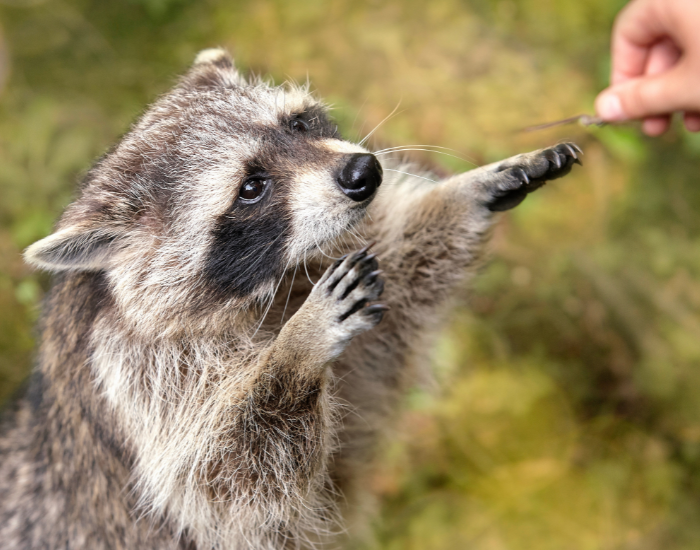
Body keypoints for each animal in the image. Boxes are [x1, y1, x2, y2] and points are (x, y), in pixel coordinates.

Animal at [0, 48, 581, 550]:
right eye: (250, 187)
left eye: (298, 124)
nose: (364, 172)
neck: (274, 285)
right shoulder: (133, 368)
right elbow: (226, 478)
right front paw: (296, 349)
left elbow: (397, 296)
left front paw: (464, 192)